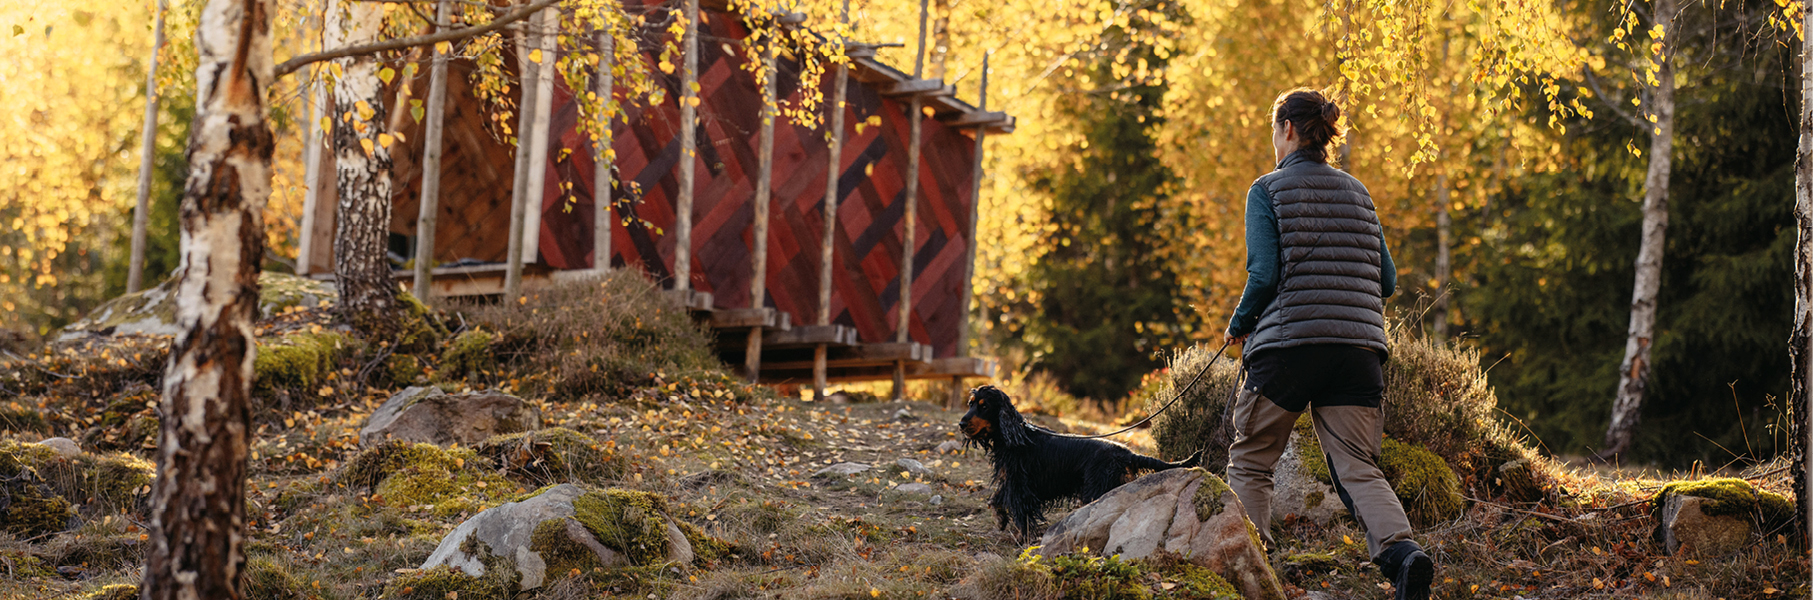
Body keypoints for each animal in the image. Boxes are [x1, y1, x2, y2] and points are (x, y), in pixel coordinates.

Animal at [957, 387, 1196, 536]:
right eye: (970, 404)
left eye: (984, 406)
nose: (961, 423)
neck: (1015, 436)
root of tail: (1126, 452)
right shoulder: (1012, 480)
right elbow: (996, 499)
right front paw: (1000, 519)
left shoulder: (1021, 485)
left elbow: (1021, 514)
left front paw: (1024, 540)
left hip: (1097, 488)